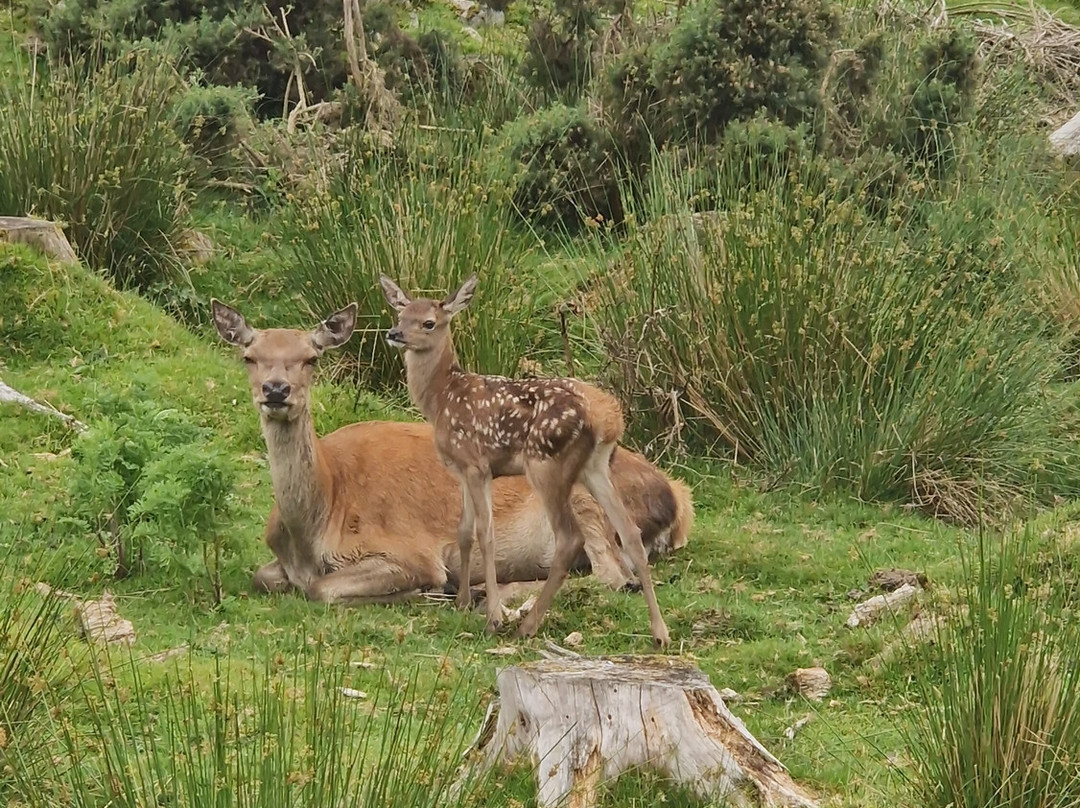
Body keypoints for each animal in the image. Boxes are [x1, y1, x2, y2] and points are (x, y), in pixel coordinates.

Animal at [210, 299, 694, 606]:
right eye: (249, 356)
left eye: (312, 358)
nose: (276, 390)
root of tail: (677, 498)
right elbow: (262, 577)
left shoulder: (407, 550)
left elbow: (322, 589)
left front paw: (426, 591)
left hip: (586, 497)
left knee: (614, 576)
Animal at [380, 274, 672, 647]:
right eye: (401, 314)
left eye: (428, 322)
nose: (394, 333)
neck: (442, 398)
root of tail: (607, 419)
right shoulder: (463, 470)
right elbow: (463, 532)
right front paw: (462, 603)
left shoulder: (476, 463)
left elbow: (485, 534)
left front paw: (492, 617)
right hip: (595, 467)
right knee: (630, 534)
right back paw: (660, 633)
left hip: (546, 465)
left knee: (569, 539)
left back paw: (528, 625)